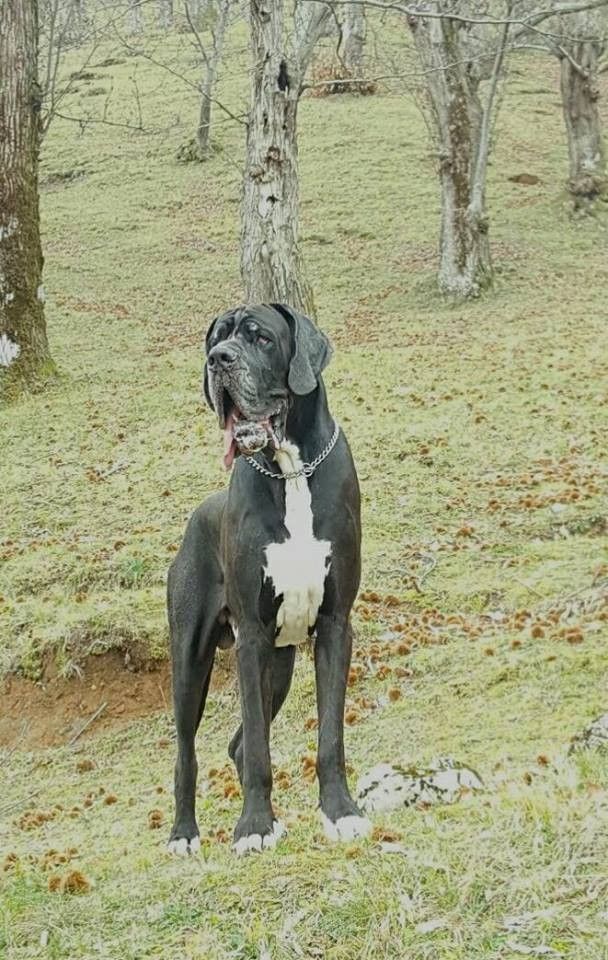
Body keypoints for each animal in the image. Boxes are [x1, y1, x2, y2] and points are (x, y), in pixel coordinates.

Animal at [167, 303, 371, 854]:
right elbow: (260, 745)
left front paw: (339, 811)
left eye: (259, 337)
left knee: (237, 743)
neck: (291, 471)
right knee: (188, 752)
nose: (219, 360)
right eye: (215, 339)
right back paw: (183, 833)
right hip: (190, 662)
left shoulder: (335, 625)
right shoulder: (252, 639)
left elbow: (330, 735)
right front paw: (255, 825)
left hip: (279, 667)